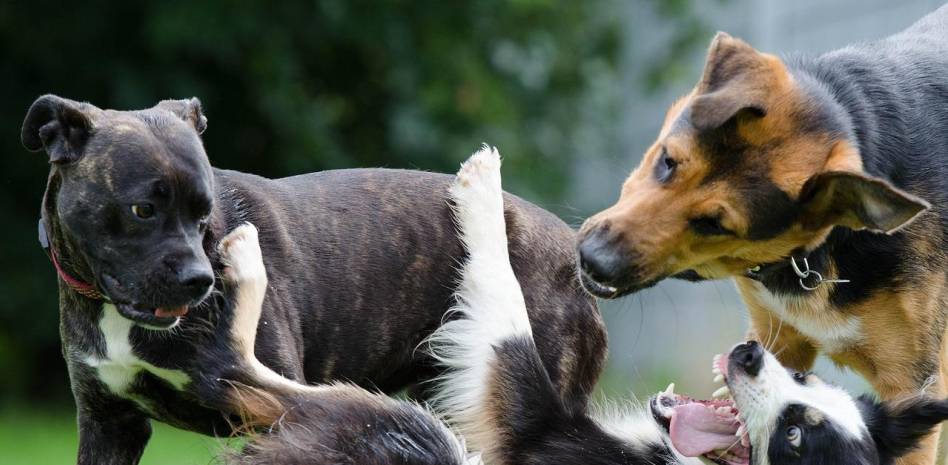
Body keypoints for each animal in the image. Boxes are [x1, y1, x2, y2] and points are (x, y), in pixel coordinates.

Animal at [218, 147, 948, 464]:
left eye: (795, 436)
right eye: (805, 378)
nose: (747, 353)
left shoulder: (529, 419)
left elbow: (505, 306)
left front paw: (483, 189)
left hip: (417, 435)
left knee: (252, 372)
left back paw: (243, 256)